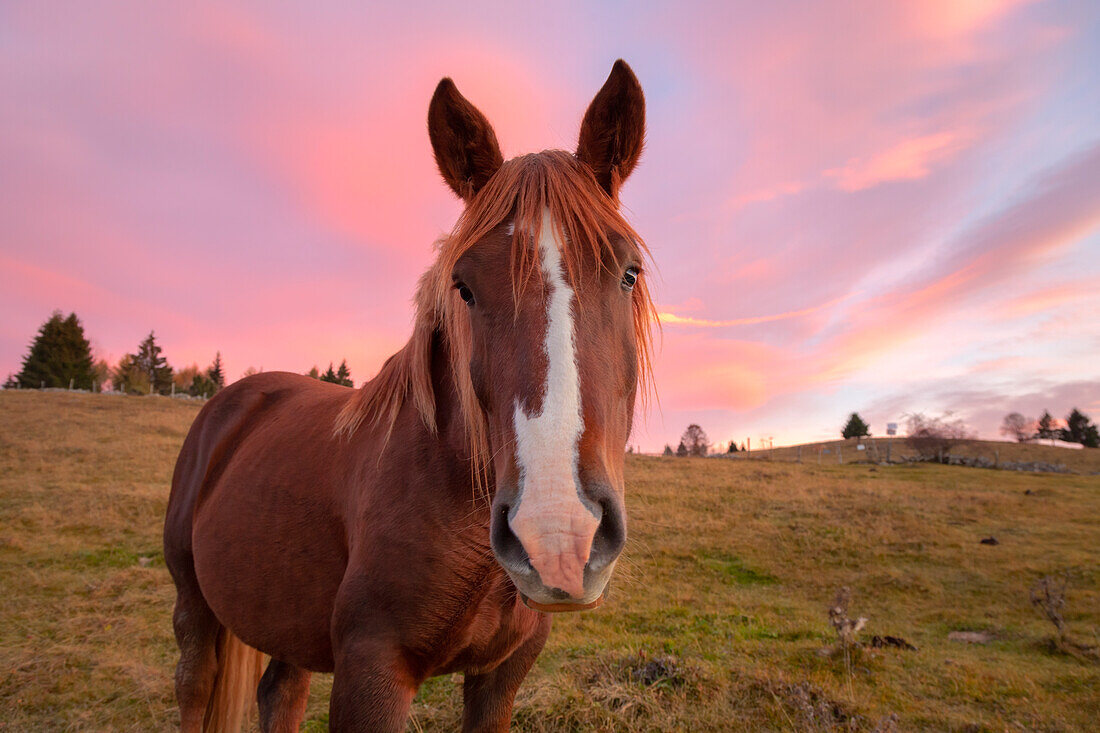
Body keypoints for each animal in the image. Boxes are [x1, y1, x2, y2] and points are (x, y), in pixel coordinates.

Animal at [162, 58, 651, 730]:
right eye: (464, 287)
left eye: (628, 273)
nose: (556, 537)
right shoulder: (372, 670)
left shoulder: (503, 675)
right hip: (195, 602)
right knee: (196, 684)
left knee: (280, 691)